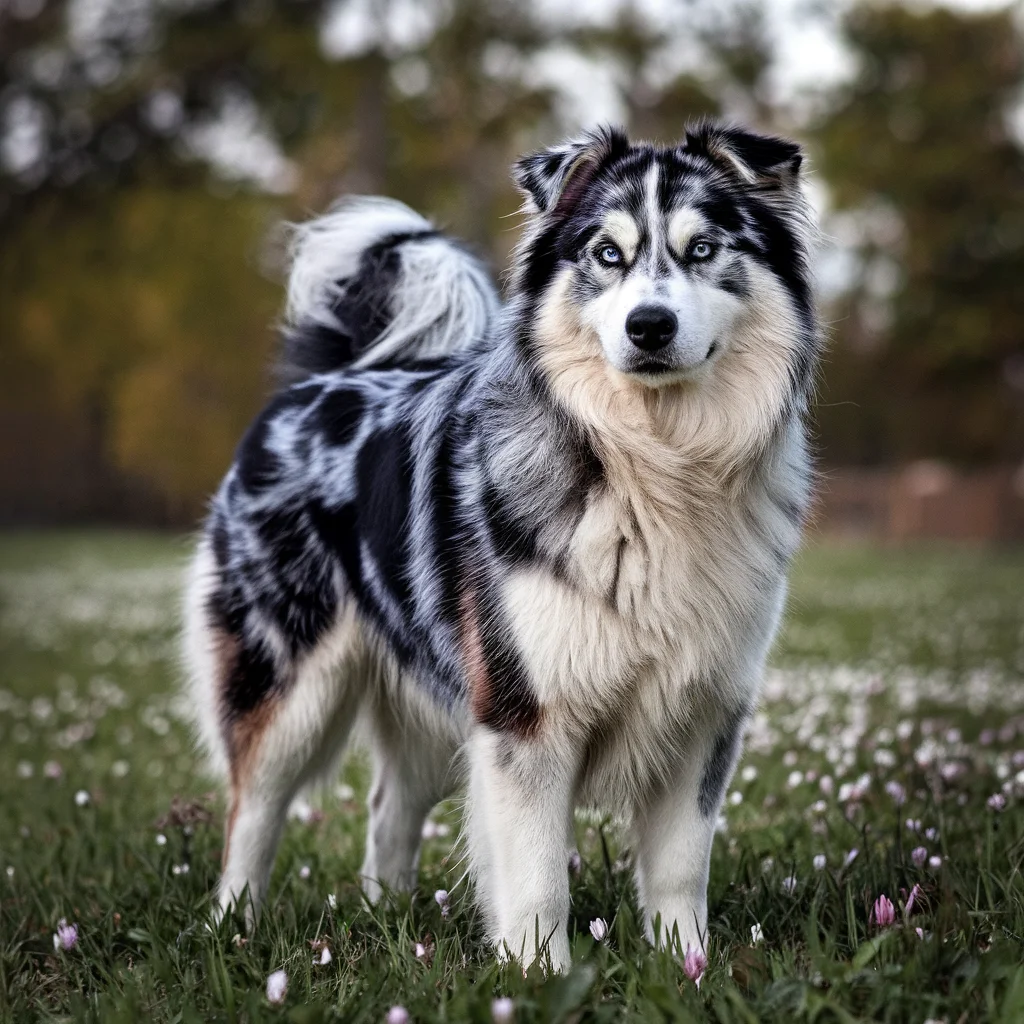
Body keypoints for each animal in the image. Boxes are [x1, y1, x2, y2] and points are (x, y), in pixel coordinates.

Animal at [184, 119, 819, 966]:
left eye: (704, 249)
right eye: (606, 254)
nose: (649, 326)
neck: (654, 467)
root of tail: (323, 382)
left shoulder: (704, 711)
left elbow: (681, 867)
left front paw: (685, 965)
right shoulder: (525, 713)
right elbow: (539, 876)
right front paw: (541, 973)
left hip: (433, 694)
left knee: (390, 807)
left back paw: (390, 918)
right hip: (289, 682)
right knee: (253, 810)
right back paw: (233, 926)